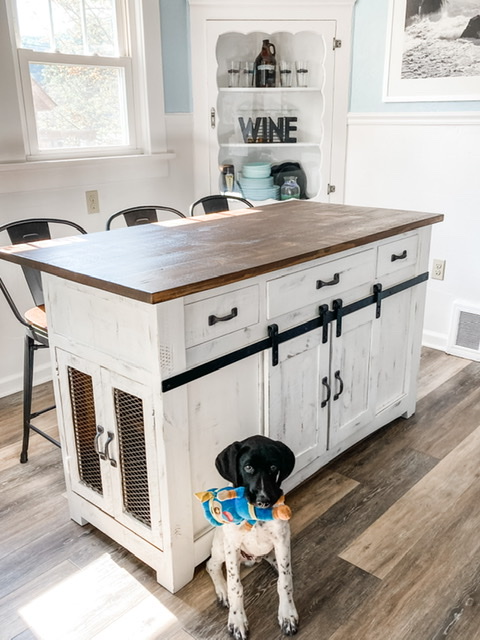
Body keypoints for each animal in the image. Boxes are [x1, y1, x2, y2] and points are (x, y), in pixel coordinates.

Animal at [205, 436, 296, 640]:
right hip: (222, 547)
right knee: (211, 565)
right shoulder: (232, 545)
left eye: (273, 467)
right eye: (247, 467)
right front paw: (237, 620)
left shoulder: (282, 539)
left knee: (278, 565)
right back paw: (222, 591)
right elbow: (235, 587)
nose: (263, 501)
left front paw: (287, 614)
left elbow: (285, 582)